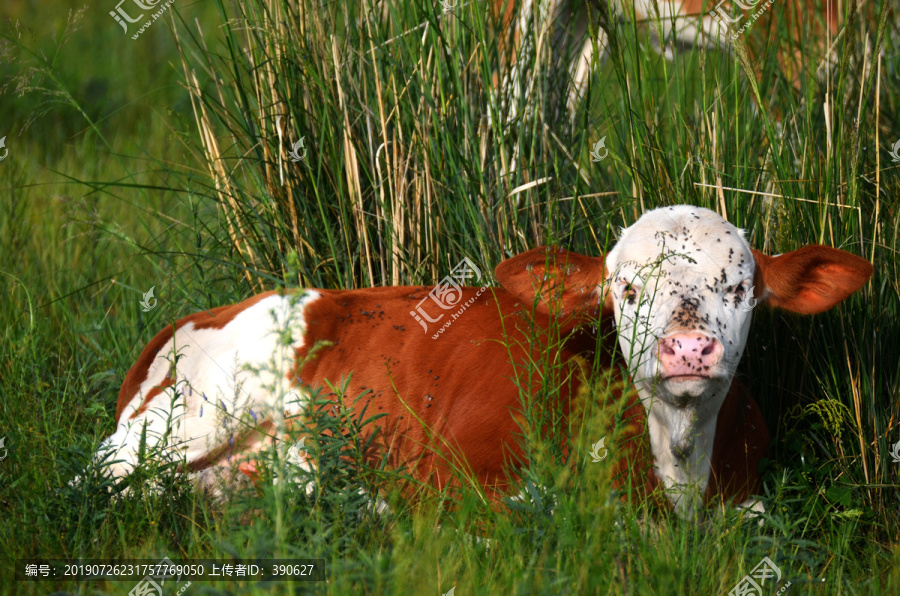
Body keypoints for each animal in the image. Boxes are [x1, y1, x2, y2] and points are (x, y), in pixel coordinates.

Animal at [96, 205, 872, 516]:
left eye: (737, 288)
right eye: (627, 289)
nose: (687, 348)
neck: (676, 461)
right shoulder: (455, 470)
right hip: (179, 426)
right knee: (107, 484)